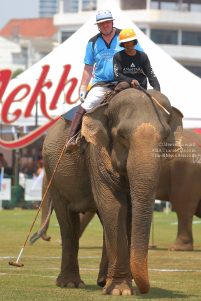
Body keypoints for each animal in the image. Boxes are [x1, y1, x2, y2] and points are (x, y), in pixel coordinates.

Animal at [40, 88, 182, 294]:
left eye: (165, 137)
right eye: (122, 135)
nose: (144, 290)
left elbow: (127, 212)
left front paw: (120, 287)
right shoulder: (95, 152)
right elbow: (113, 206)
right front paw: (120, 290)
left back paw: (101, 281)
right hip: (53, 171)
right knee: (67, 220)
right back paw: (71, 283)